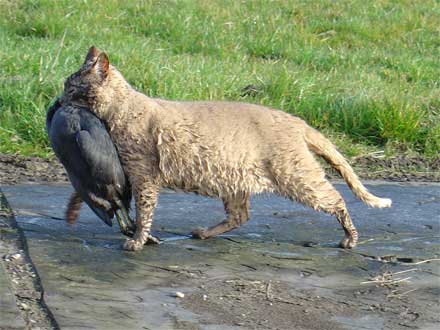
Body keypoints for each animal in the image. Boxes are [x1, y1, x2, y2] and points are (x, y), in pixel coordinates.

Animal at [58, 46, 392, 251]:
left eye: (71, 86)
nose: (59, 99)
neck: (121, 110)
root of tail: (296, 120)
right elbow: (99, 196)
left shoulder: (144, 175)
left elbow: (144, 212)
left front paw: (137, 241)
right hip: (233, 181)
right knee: (240, 216)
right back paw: (204, 233)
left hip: (296, 175)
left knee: (336, 198)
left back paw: (350, 238)